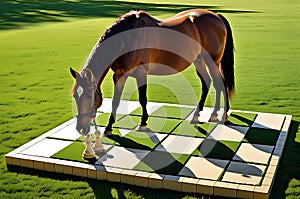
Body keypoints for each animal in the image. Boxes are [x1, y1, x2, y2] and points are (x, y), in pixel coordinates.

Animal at [70, 9, 234, 140]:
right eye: (75, 96)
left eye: (89, 96)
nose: (81, 128)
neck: (127, 39)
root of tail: (216, 15)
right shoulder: (119, 76)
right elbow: (115, 101)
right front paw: (109, 127)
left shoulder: (141, 74)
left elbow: (143, 99)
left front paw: (143, 123)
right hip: (199, 60)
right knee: (209, 82)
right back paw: (202, 115)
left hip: (212, 61)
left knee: (220, 83)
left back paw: (221, 115)